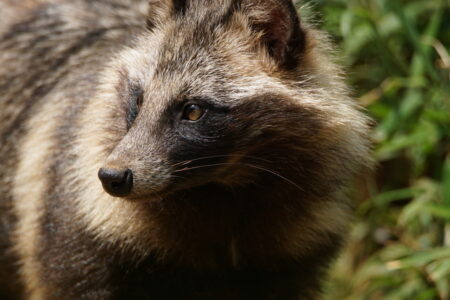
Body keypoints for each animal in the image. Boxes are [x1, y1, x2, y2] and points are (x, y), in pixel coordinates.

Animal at [0, 0, 370, 298]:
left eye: (192, 110)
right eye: (139, 100)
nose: (111, 177)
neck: (220, 191)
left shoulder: (291, 252)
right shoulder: (81, 229)